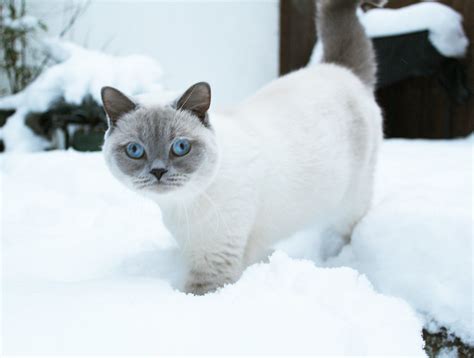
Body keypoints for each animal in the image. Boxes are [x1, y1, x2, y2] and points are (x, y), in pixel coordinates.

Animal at [101, 0, 386, 296]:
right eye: (135, 150)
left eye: (180, 147)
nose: (158, 171)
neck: (180, 206)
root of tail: (338, 68)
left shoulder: (214, 259)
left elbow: (198, 291)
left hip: (351, 200)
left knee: (347, 228)